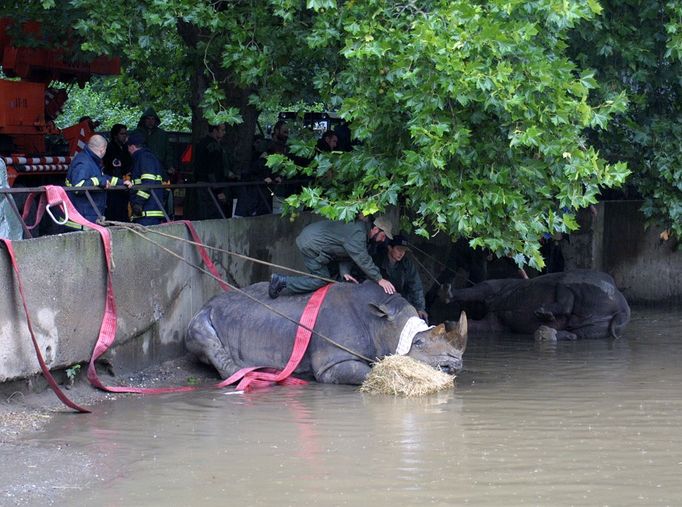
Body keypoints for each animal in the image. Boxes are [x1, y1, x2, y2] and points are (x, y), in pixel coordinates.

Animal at [183, 282, 464, 384]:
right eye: (419, 342)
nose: (456, 365)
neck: (381, 323)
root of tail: (205, 304)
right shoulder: (332, 361)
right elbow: (368, 372)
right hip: (201, 316)